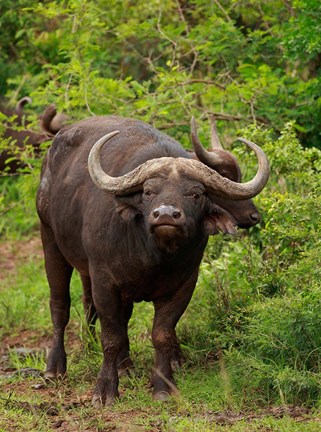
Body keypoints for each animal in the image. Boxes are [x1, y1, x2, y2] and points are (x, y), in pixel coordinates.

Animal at [36, 115, 268, 404]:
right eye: (148, 192)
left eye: (196, 194)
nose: (166, 214)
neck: (153, 254)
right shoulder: (104, 280)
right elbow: (111, 336)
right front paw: (105, 390)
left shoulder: (184, 284)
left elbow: (161, 334)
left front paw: (163, 384)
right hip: (50, 240)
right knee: (60, 305)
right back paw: (55, 367)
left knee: (106, 312)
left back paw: (125, 365)